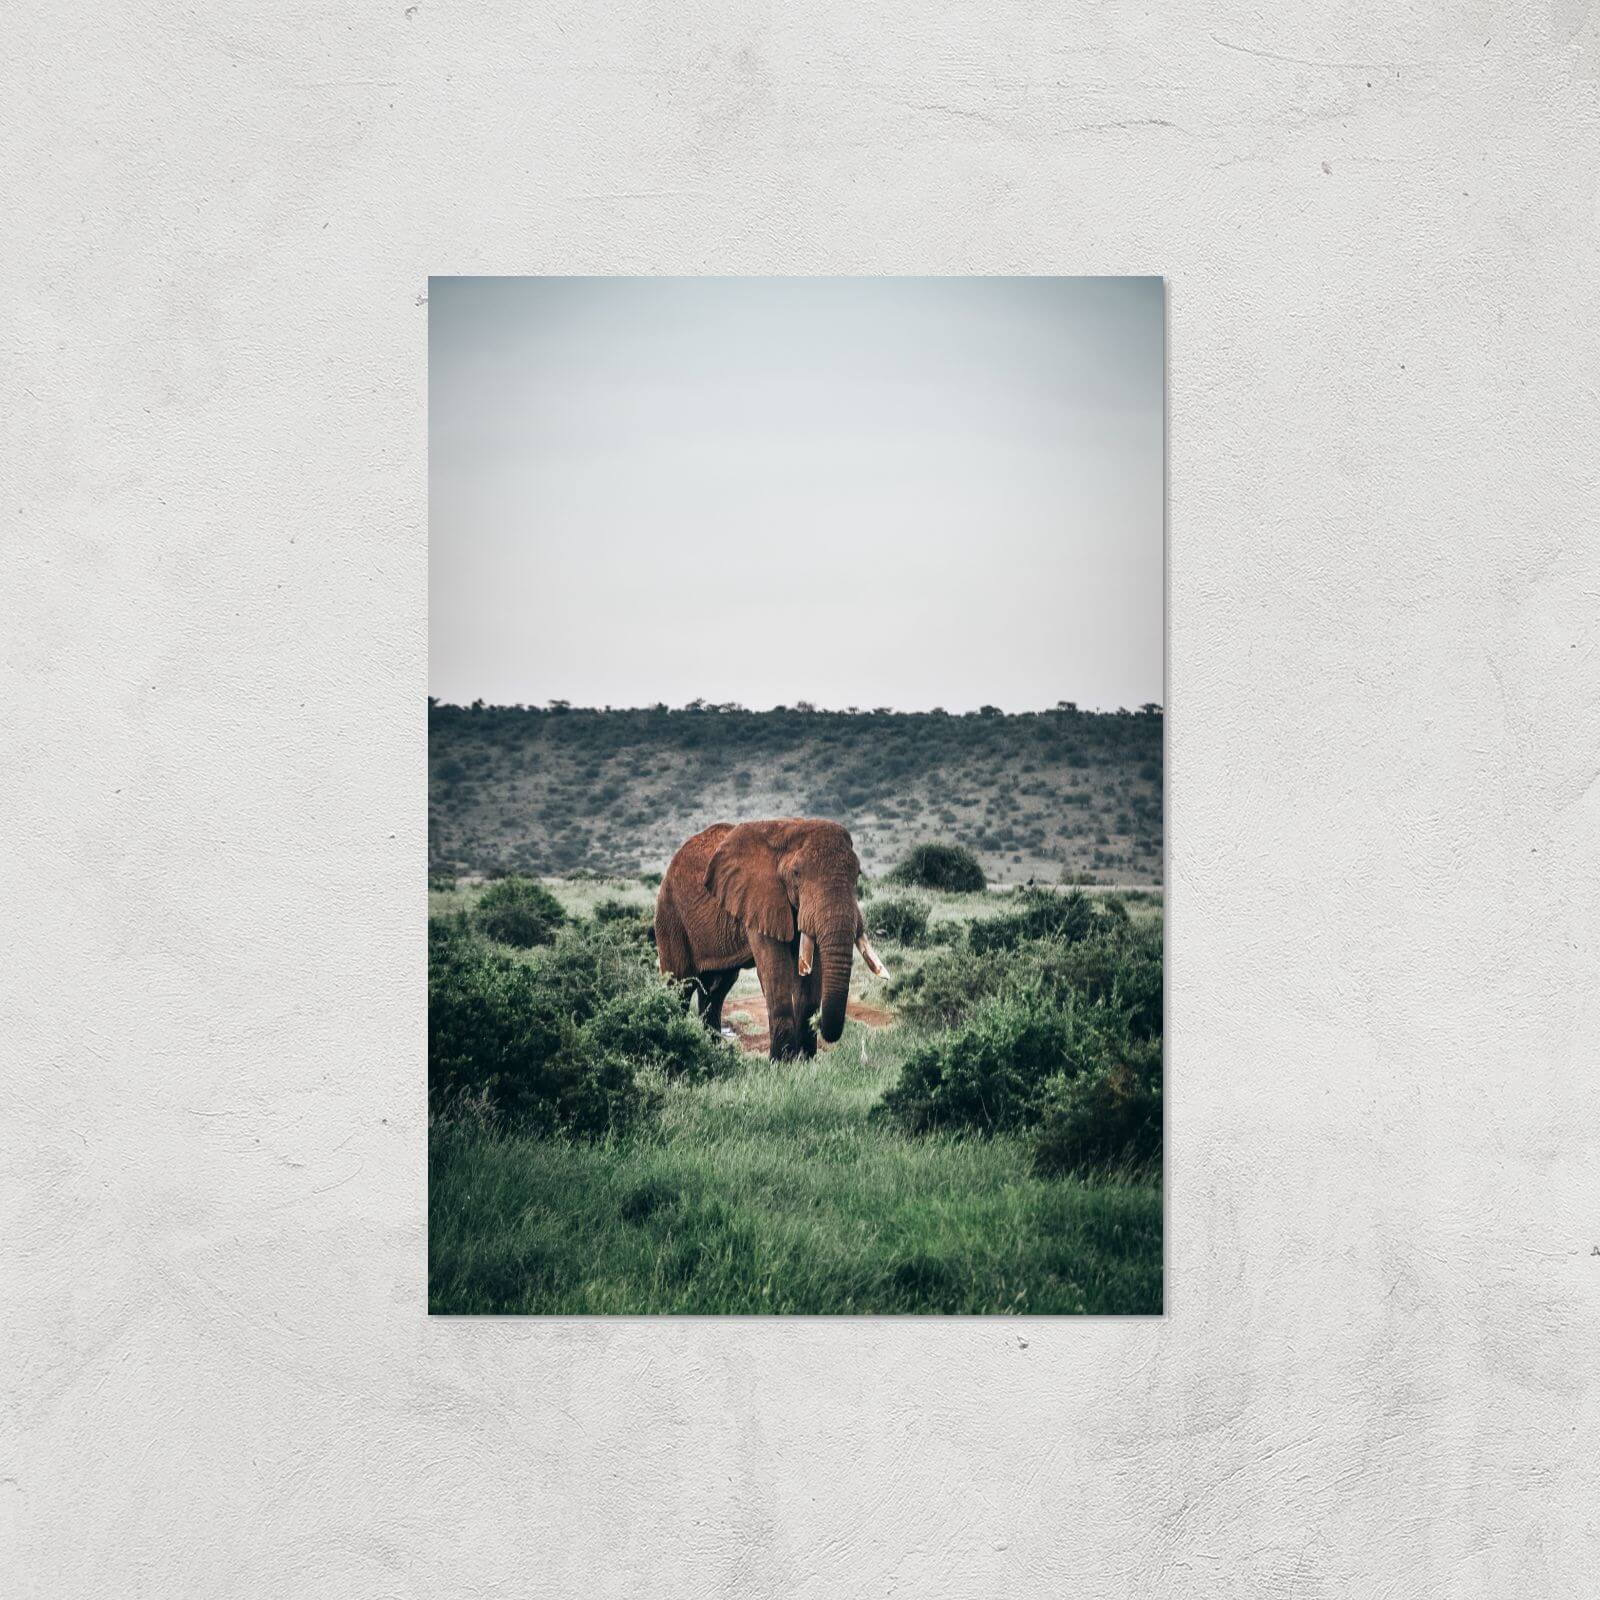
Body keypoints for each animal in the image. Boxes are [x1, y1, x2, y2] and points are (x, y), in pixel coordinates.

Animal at [654, 818, 889, 1060]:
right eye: (796, 874)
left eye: (858, 874)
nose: (824, 1028)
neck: (790, 829)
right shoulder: (759, 899)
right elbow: (775, 969)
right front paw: (781, 1062)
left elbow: (811, 974)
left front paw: (805, 1060)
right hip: (670, 916)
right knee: (681, 985)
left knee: (715, 989)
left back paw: (713, 1051)